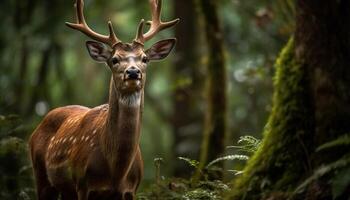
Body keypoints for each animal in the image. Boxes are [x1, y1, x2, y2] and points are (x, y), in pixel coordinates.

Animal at [28, 0, 179, 199]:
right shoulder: (82, 185)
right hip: (41, 176)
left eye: (145, 58)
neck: (116, 170)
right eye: (114, 59)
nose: (133, 72)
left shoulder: (131, 189)